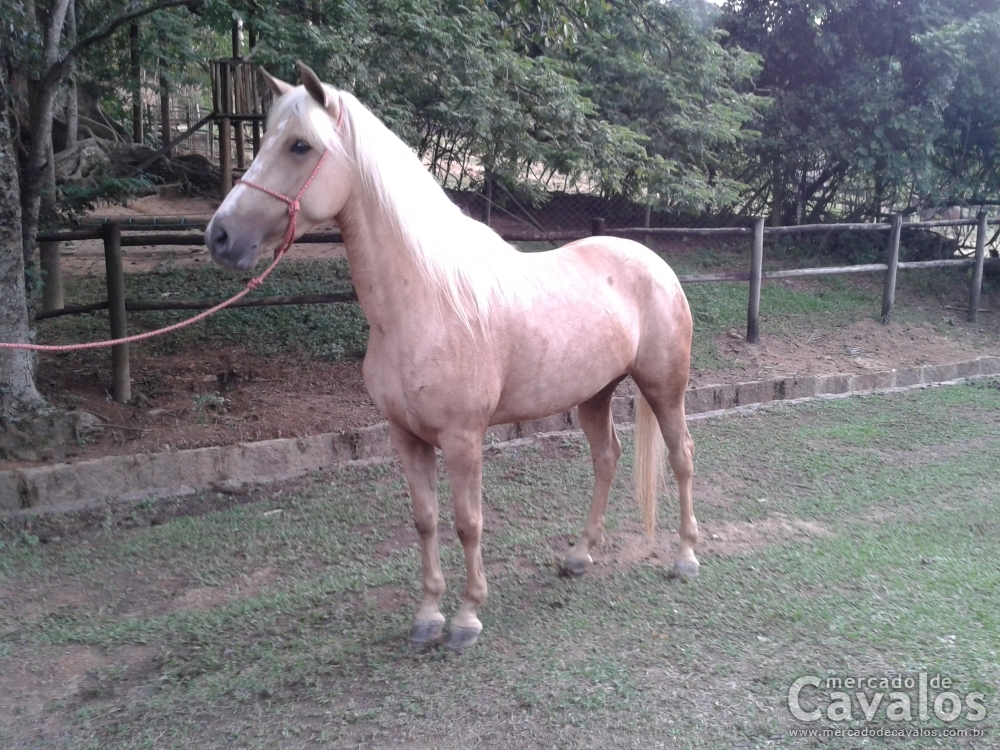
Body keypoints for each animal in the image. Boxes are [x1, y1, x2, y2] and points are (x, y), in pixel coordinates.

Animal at [205, 62, 700, 651]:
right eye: (264, 140)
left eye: (300, 145)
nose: (219, 235)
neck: (428, 300)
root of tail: (657, 264)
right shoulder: (405, 436)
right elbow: (425, 519)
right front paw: (428, 616)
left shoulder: (464, 440)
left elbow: (468, 522)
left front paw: (466, 618)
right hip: (594, 395)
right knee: (607, 459)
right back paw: (579, 555)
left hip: (664, 389)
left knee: (682, 457)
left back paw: (685, 556)